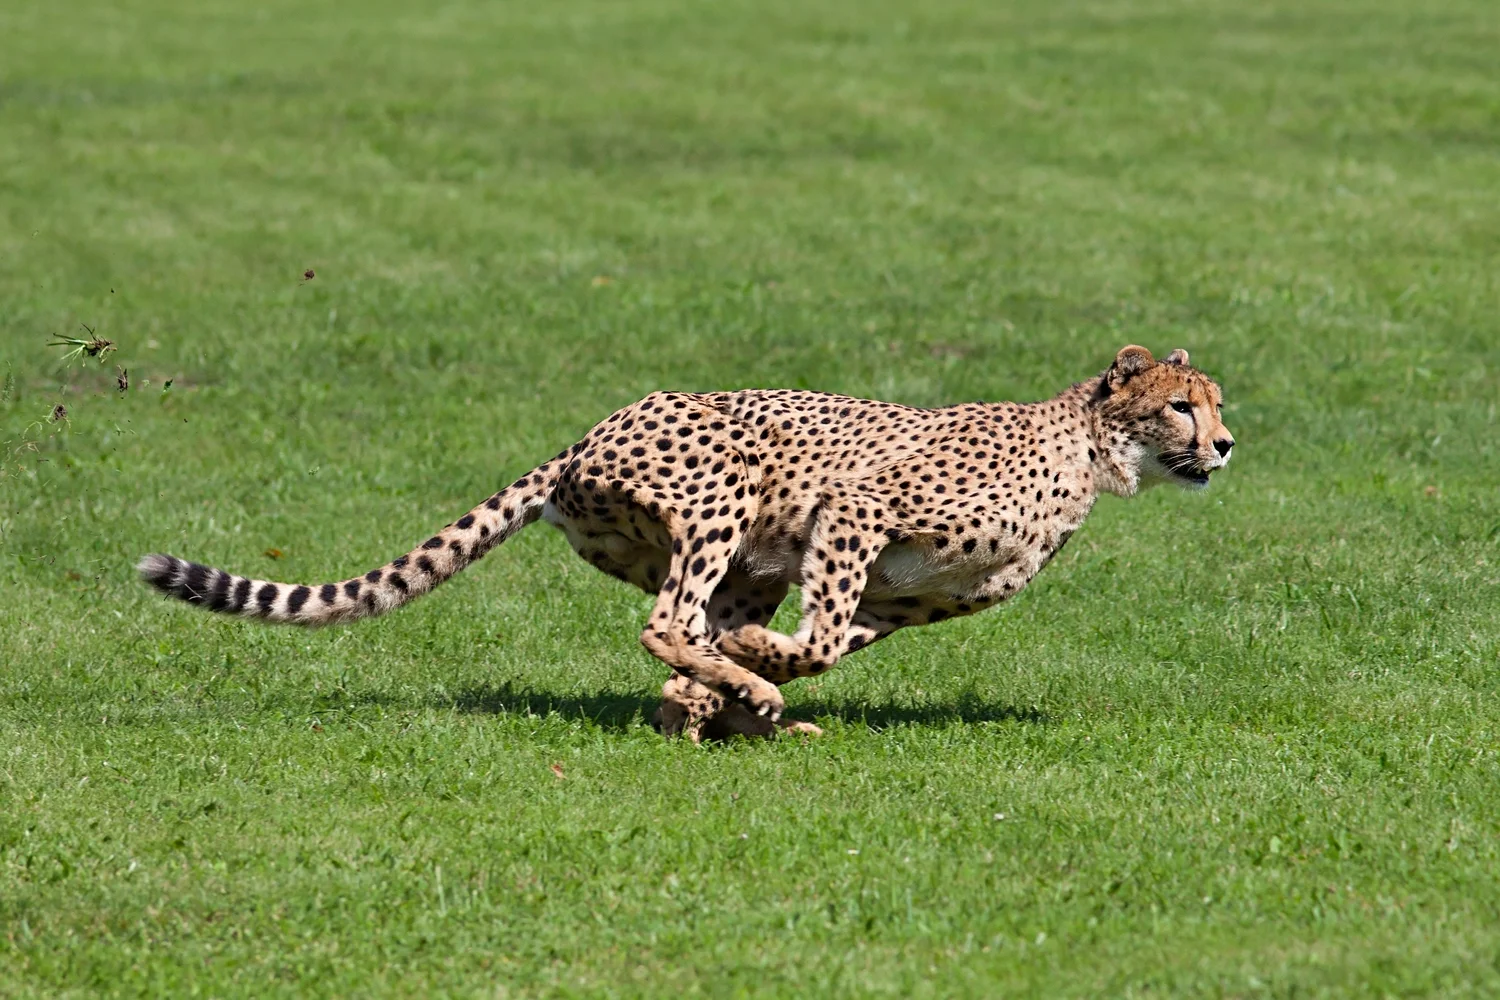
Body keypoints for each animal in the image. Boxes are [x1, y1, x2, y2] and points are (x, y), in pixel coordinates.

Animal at [139, 344, 1234, 741]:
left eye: (1214, 404)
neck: (1089, 450)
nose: (1225, 444)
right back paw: (732, 694)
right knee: (668, 622)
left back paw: (718, 709)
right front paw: (755, 674)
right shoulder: (855, 510)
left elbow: (830, 640)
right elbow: (818, 637)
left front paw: (746, 682)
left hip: (741, 554)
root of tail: (584, 435)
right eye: (1182, 404)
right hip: (728, 491)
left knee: (689, 637)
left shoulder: (903, 597)